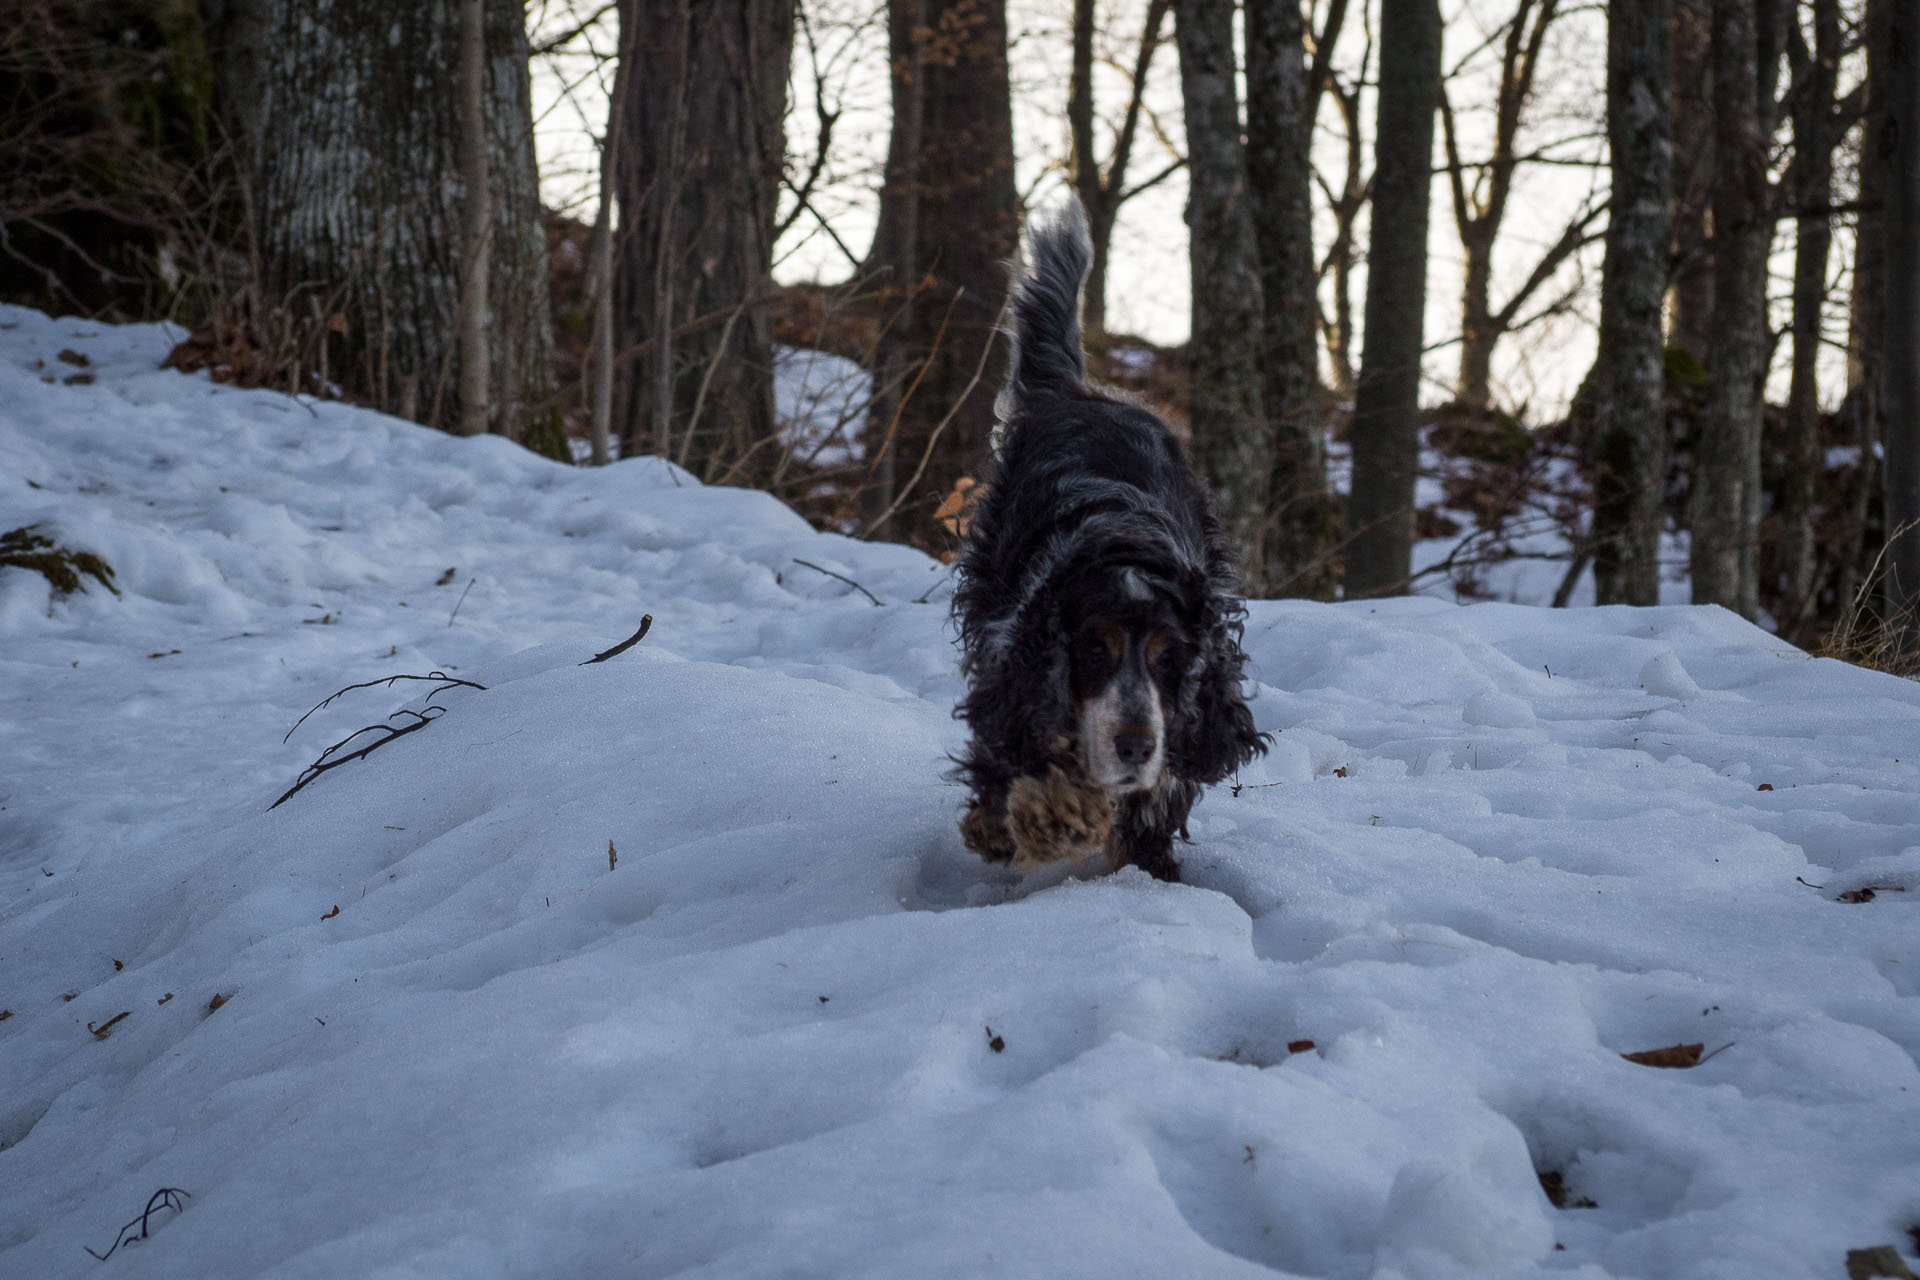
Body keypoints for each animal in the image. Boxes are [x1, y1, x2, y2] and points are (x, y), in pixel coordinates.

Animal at [948, 202, 1259, 882]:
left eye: (1171, 657)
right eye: (1094, 650)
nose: (1135, 745)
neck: (1126, 544)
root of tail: (1076, 393)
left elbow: (1151, 810)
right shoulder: (1014, 658)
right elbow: (1014, 755)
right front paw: (1045, 815)